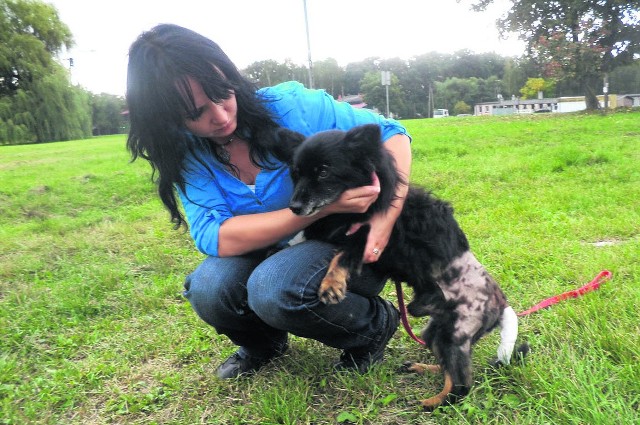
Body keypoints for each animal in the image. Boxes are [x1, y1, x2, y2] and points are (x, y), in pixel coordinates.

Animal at [282, 124, 524, 410]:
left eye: (323, 171)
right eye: (296, 174)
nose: (294, 207)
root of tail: (501, 306)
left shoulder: (367, 235)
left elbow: (341, 256)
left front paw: (331, 285)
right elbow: (305, 234)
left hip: (454, 334)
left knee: (462, 383)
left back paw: (433, 403)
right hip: (434, 331)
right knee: (449, 370)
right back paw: (422, 369)